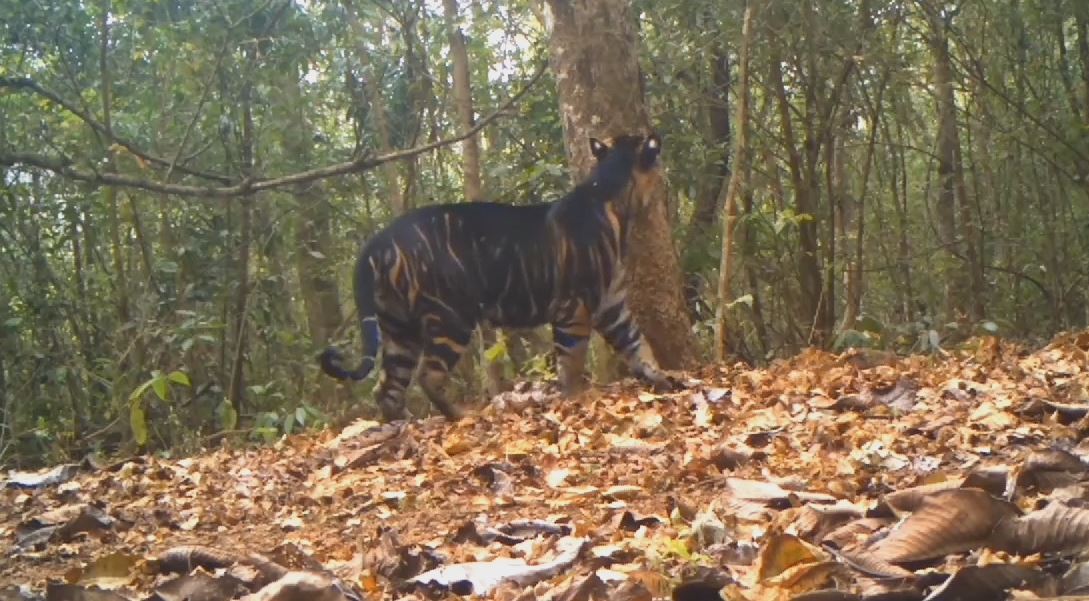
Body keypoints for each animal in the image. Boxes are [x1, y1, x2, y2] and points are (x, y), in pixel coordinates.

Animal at [315, 133, 670, 420]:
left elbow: (638, 343)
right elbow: (571, 363)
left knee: (388, 387)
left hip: (399, 328)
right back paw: (460, 416)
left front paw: (662, 378)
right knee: (427, 376)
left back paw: (404, 424)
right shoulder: (574, 309)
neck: (615, 200)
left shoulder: (612, 305)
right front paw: (575, 400)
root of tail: (376, 242)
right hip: (450, 320)